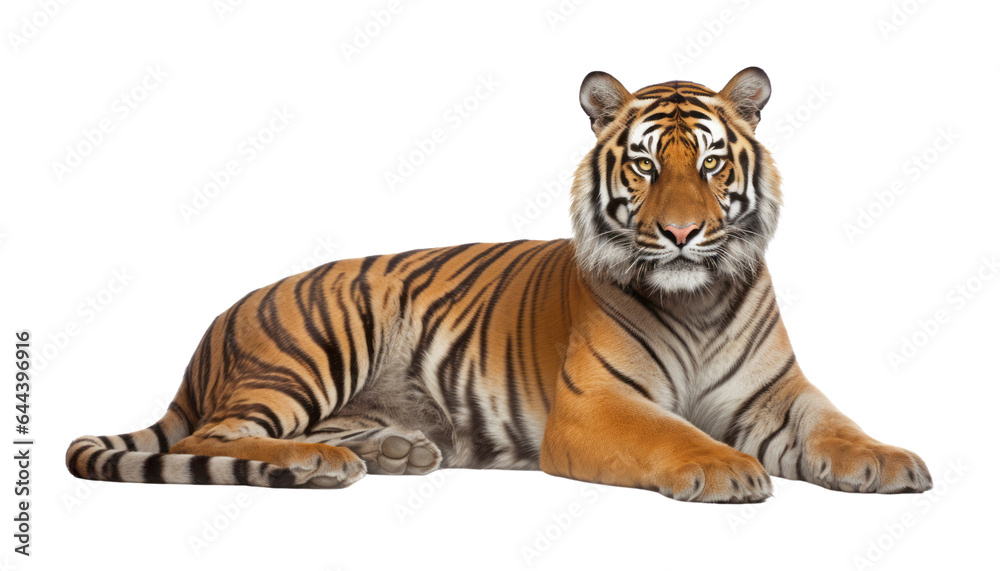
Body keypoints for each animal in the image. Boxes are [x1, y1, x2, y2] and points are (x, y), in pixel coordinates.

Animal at [66, 67, 932, 502]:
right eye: (647, 165)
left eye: (713, 163)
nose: (684, 233)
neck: (699, 297)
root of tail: (214, 323)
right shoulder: (594, 404)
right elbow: (674, 433)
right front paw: (723, 468)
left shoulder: (778, 392)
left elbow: (837, 424)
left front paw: (887, 460)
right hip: (316, 344)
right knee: (216, 436)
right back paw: (313, 462)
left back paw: (393, 449)